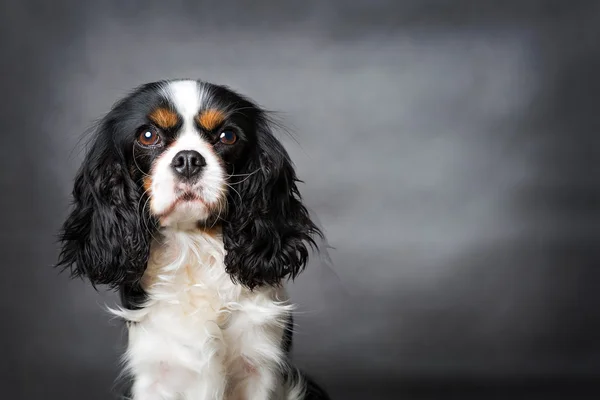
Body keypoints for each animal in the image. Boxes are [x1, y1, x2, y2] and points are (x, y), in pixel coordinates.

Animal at [56, 79, 330, 400]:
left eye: (227, 136)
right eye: (147, 135)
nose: (188, 159)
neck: (193, 247)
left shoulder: (258, 368)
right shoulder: (154, 374)